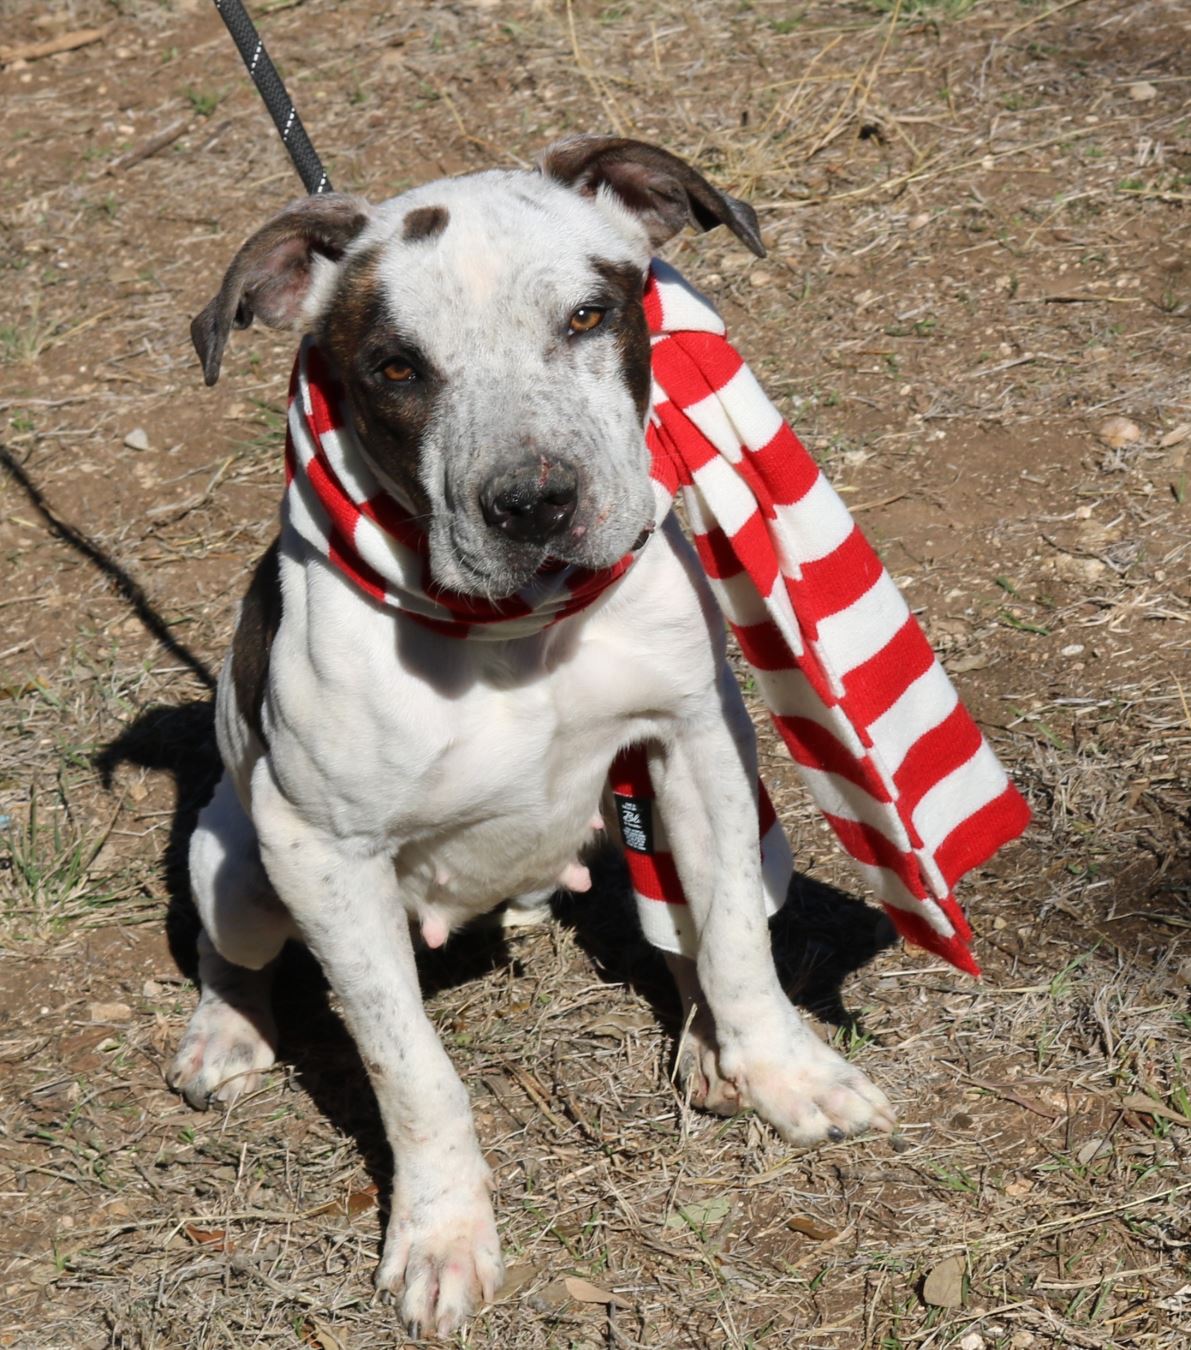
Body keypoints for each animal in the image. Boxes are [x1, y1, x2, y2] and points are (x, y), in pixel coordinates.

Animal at [167, 142, 891, 1333]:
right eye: (395, 369)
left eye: (588, 315)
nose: (535, 503)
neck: (517, 633)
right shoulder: (323, 856)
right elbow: (411, 1072)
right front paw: (441, 1234)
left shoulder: (694, 743)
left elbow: (735, 942)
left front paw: (786, 1071)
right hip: (236, 857)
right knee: (237, 951)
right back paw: (224, 1033)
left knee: (688, 922)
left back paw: (710, 1045)